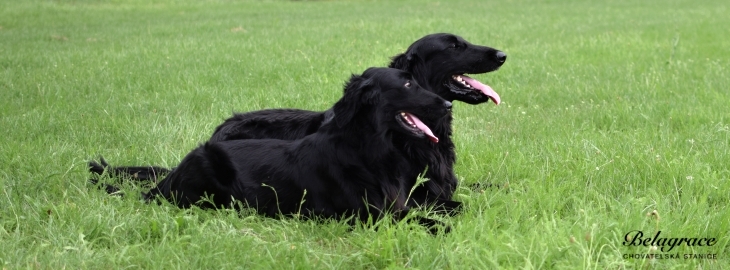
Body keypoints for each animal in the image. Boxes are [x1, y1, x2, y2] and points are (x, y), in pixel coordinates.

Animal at [142, 67, 450, 228]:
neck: (367, 152)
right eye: (408, 84)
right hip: (209, 166)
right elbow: (432, 222)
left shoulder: (396, 207)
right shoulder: (369, 216)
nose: (448, 105)